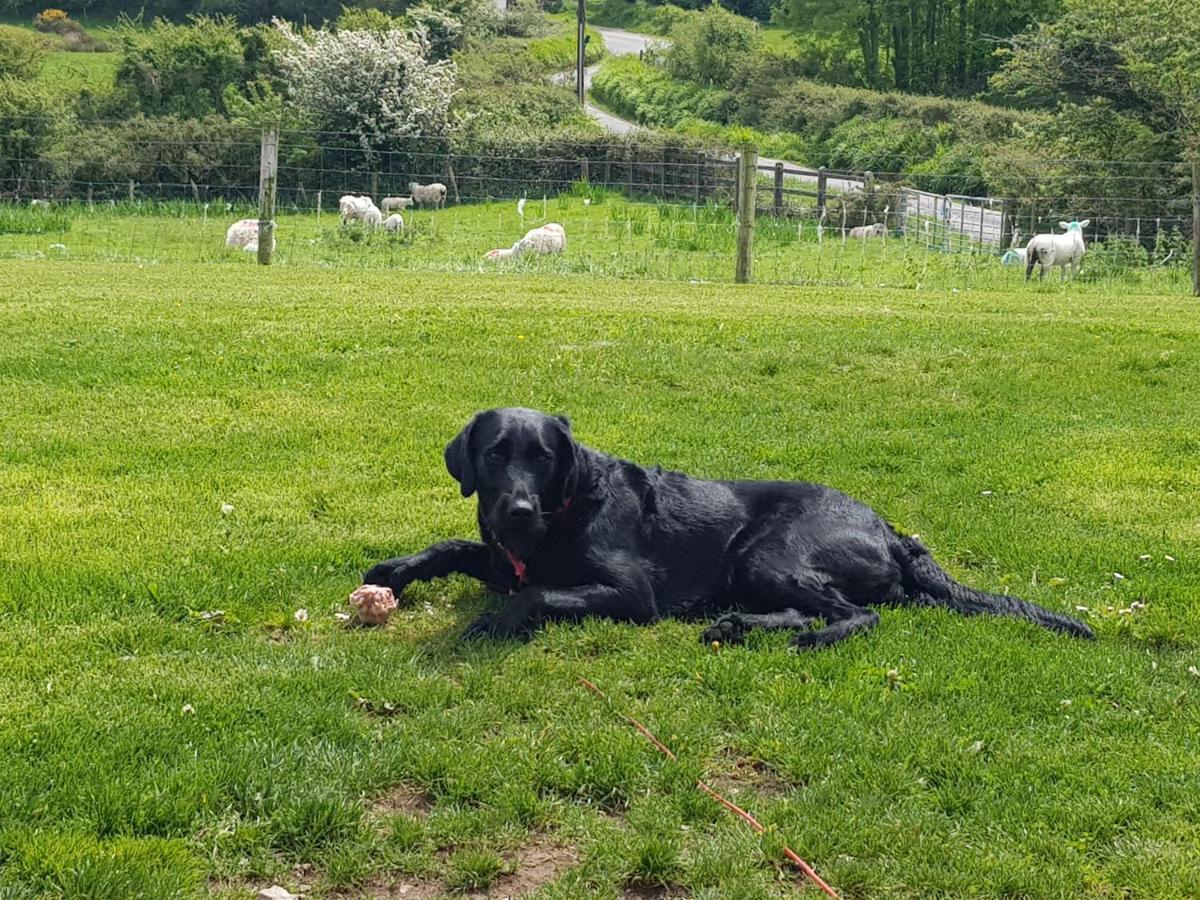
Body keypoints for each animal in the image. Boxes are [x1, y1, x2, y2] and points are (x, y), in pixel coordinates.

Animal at [360, 408, 1094, 648]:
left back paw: (799, 636)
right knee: (807, 610)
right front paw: (395, 570)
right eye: (495, 455)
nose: (514, 511)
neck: (564, 511)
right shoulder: (502, 555)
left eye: (543, 458)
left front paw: (492, 622)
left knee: (854, 616)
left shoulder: (633, 594)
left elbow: (536, 594)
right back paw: (738, 626)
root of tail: (890, 530)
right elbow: (455, 546)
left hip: (766, 554)